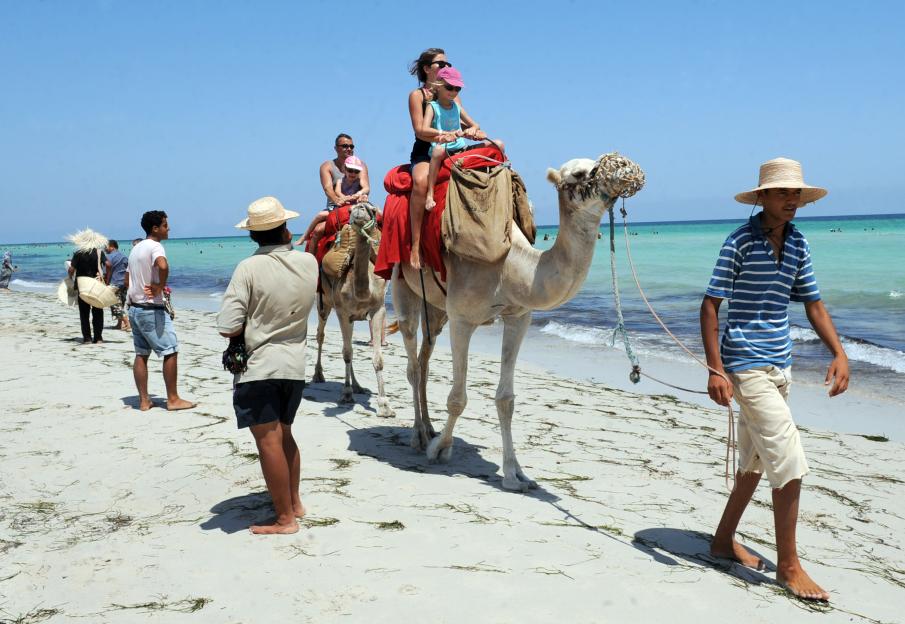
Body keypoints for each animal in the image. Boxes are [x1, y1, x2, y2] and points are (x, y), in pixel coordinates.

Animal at [312, 202, 394, 418]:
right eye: (351, 210)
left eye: (372, 210)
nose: (360, 206)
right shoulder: (342, 311)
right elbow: (347, 353)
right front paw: (346, 394)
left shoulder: (378, 310)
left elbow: (377, 358)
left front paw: (385, 405)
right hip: (324, 303)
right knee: (321, 336)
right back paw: (318, 375)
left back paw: (358, 386)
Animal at [393, 153, 644, 491]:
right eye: (579, 173)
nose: (624, 170)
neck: (510, 266)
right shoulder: (462, 318)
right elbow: (458, 398)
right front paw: (440, 450)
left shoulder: (518, 317)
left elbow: (506, 399)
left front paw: (515, 474)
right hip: (402, 284)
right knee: (412, 362)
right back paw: (419, 435)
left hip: (435, 307)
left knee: (424, 360)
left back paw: (430, 427)